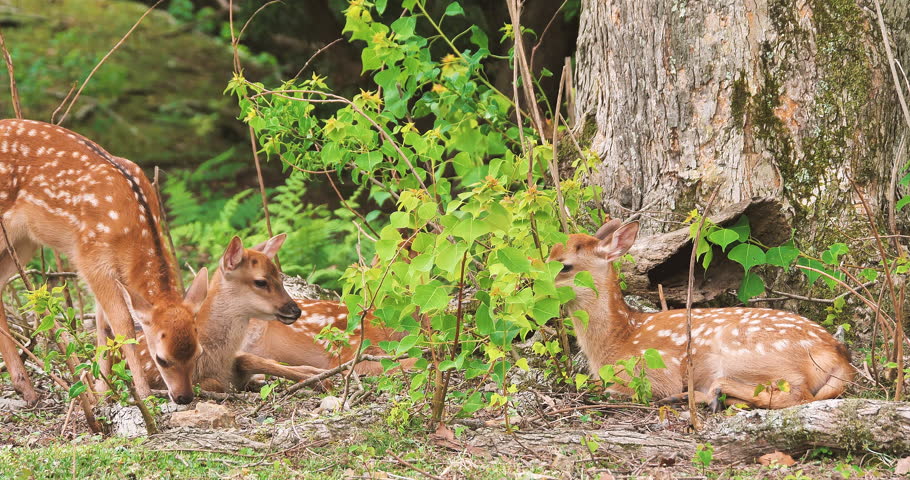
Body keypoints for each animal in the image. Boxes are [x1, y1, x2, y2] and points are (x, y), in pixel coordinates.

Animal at [0, 119, 206, 405]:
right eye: (162, 359)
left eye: (198, 353)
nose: (184, 397)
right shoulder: (90, 257)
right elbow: (122, 324)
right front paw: (142, 394)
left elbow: (103, 324)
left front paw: (101, 390)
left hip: (23, 241)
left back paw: (25, 387)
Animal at [549, 219, 854, 410]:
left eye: (564, 265)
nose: (537, 283)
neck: (619, 337)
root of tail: (837, 354)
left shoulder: (654, 371)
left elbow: (619, 388)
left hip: (751, 355)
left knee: (797, 394)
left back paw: (707, 394)